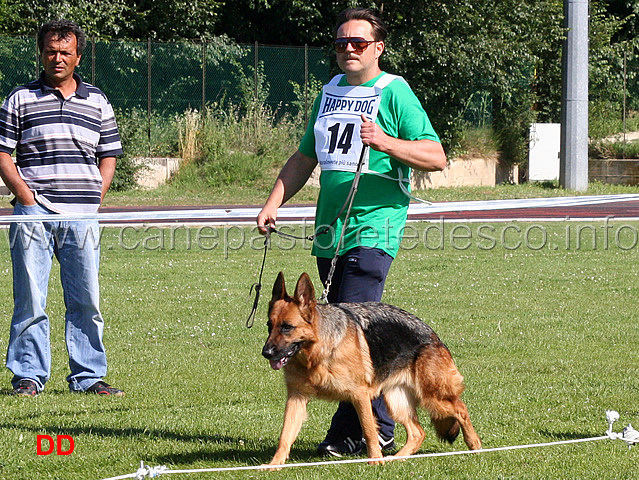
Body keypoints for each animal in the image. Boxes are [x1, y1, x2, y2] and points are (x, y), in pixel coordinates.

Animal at [262, 274, 480, 464]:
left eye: (287, 327)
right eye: (269, 326)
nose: (266, 352)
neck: (317, 352)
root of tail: (434, 336)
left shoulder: (359, 395)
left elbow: (368, 430)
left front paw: (375, 460)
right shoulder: (296, 399)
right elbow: (285, 436)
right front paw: (274, 465)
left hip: (432, 397)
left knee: (460, 408)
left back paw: (474, 444)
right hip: (396, 401)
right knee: (418, 432)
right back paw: (397, 458)